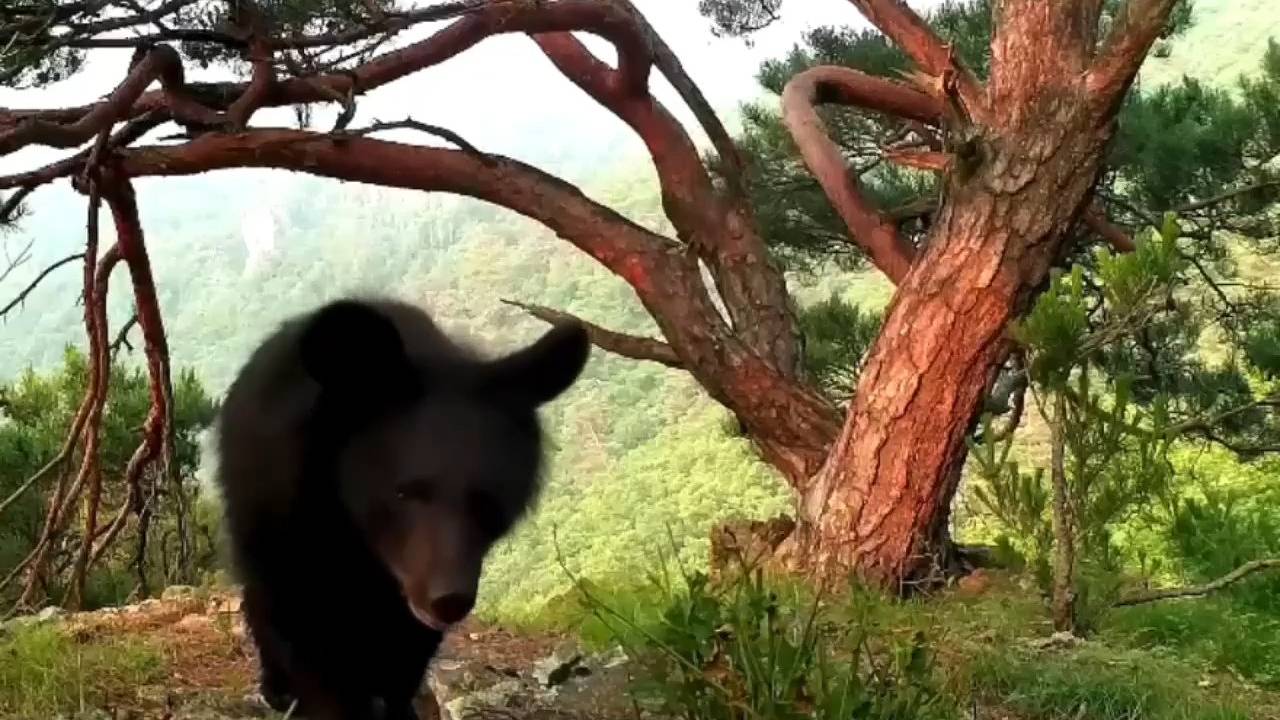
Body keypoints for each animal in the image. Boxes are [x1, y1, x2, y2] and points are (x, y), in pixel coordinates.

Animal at [213, 297, 589, 720]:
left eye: (488, 503)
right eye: (404, 493)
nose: (449, 600)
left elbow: (406, 647)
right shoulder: (281, 508)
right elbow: (302, 624)